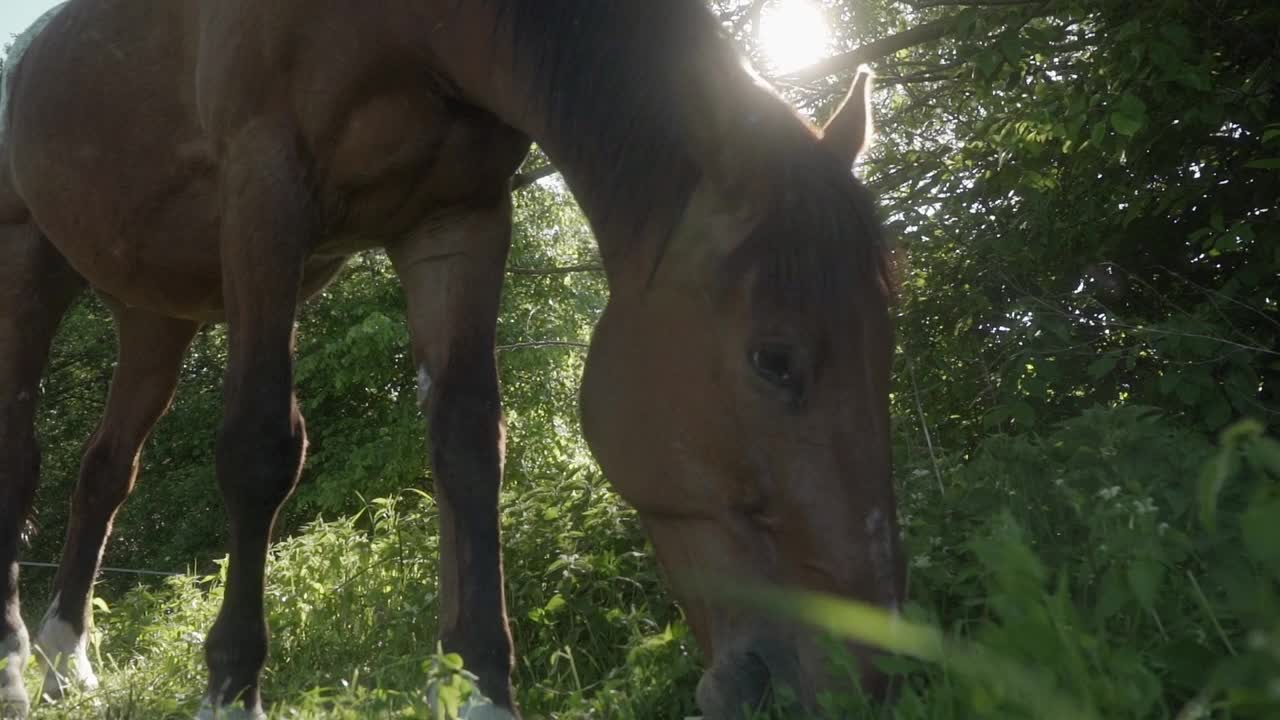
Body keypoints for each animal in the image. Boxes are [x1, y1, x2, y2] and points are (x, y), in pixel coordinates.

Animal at [0, 1, 901, 717]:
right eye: (774, 359)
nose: (864, 679)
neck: (411, 24)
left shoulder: (456, 219)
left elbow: (468, 447)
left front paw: (482, 690)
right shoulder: (264, 192)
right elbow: (260, 448)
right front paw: (231, 691)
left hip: (157, 316)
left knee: (104, 471)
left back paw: (64, 660)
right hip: (28, 264)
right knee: (23, 462)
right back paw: (13, 664)